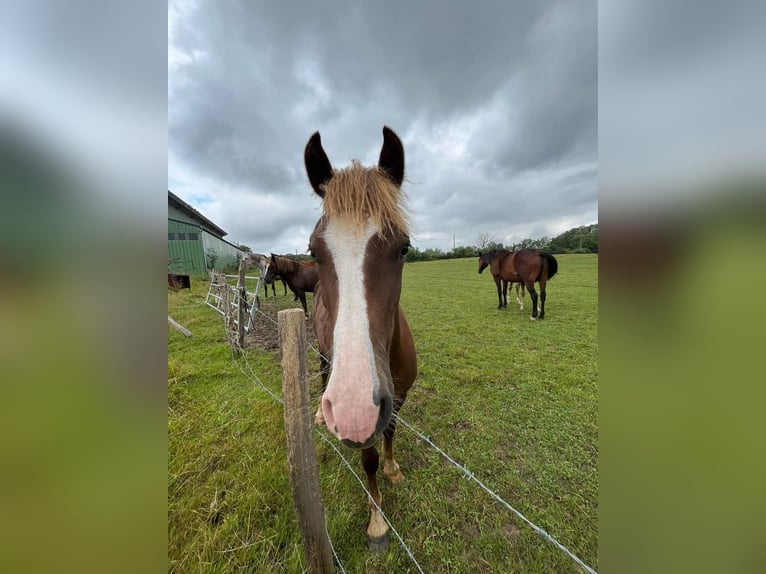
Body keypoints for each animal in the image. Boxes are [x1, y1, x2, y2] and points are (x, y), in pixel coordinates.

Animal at [304, 127, 416, 552]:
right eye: (313, 251)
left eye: (404, 248)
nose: (352, 408)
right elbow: (367, 459)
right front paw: (377, 521)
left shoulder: (397, 395)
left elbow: (392, 429)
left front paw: (393, 467)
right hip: (323, 354)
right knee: (322, 373)